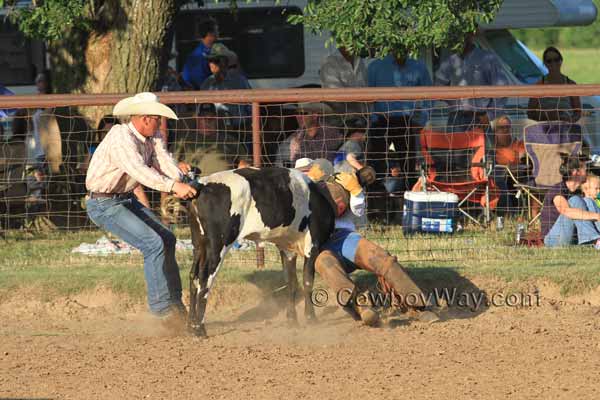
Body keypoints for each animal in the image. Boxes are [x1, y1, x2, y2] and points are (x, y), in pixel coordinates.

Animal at [188, 167, 336, 336]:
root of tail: (202, 184)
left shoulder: (287, 248)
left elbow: (291, 282)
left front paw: (292, 320)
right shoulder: (313, 246)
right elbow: (307, 282)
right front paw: (311, 318)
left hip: (199, 244)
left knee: (193, 276)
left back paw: (190, 325)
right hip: (218, 244)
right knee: (205, 279)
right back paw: (199, 328)